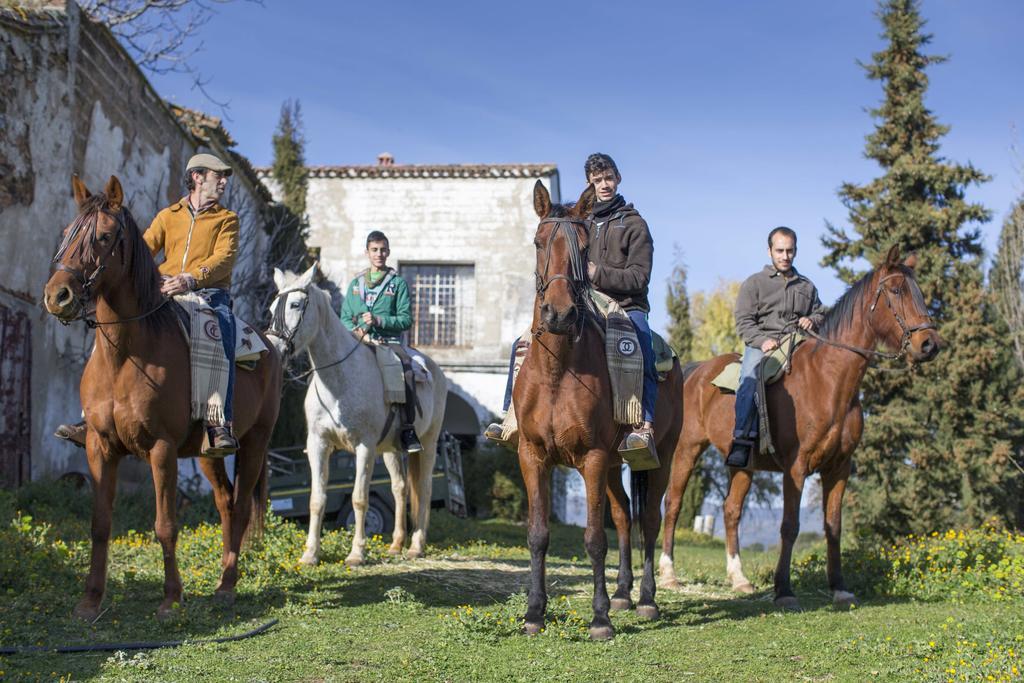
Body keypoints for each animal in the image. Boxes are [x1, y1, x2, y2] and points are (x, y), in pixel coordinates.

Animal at [42, 175, 282, 618]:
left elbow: (165, 525)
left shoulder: (161, 449)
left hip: (256, 442)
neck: (125, 355)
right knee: (225, 502)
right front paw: (90, 600)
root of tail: (270, 346)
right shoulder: (100, 448)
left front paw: (171, 598)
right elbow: (100, 525)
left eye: (103, 237)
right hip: (207, 454)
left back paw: (227, 586)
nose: (58, 296)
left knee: (241, 508)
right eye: (66, 233)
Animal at [268, 264, 448, 565]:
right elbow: (316, 499)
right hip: (392, 450)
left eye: (295, 304)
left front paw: (356, 553)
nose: (273, 348)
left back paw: (416, 546)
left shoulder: (364, 447)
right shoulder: (318, 444)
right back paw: (396, 544)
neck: (339, 380)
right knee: (400, 488)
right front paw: (310, 554)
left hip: (428, 443)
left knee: (423, 489)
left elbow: (359, 498)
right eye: (272, 308)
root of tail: (434, 369)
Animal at [516, 181, 684, 643]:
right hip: (611, 467)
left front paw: (600, 618)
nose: (559, 314)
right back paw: (624, 592)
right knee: (624, 516)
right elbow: (538, 535)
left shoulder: (590, 459)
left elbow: (594, 538)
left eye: (584, 247)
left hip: (657, 459)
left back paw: (645, 600)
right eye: (538, 242)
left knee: (648, 521)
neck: (557, 370)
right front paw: (534, 613)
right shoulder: (532, 456)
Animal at [655, 246, 937, 610]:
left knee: (731, 511)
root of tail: (696, 371)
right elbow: (789, 526)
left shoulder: (839, 468)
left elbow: (833, 527)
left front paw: (839, 587)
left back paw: (739, 579)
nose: (929, 344)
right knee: (674, 504)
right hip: (687, 450)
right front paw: (784, 589)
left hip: (742, 465)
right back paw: (669, 574)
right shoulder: (796, 466)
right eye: (897, 290)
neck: (828, 380)